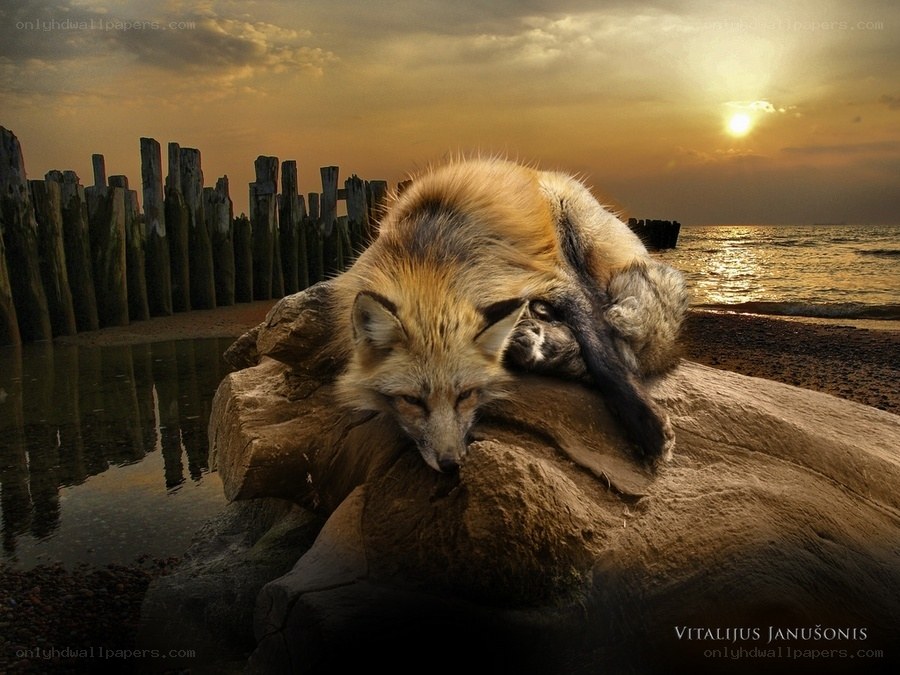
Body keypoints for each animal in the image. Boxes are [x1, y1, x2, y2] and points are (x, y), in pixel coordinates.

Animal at [332, 158, 688, 473]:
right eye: (412, 400)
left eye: (466, 395)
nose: (450, 464)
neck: (429, 261)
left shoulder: (552, 279)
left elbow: (604, 358)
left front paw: (646, 425)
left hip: (578, 234)